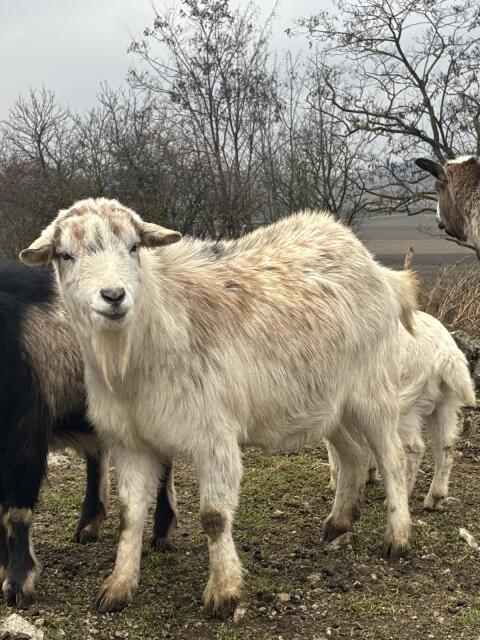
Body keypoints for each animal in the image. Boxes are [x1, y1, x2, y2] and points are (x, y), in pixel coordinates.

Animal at [0, 263, 176, 609]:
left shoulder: (23, 437)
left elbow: (15, 514)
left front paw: (18, 584)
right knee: (97, 457)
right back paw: (90, 524)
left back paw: (163, 531)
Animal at [20, 198, 418, 616]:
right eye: (66, 255)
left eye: (134, 246)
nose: (113, 295)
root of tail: (376, 267)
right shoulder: (130, 441)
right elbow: (130, 515)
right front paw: (118, 585)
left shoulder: (214, 433)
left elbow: (213, 516)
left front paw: (223, 591)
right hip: (330, 400)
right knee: (354, 454)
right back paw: (339, 522)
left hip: (372, 389)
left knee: (391, 457)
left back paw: (397, 536)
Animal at [327, 310, 476, 511]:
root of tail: (447, 355)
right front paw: (369, 474)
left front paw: (336, 482)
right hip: (446, 403)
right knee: (446, 445)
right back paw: (434, 498)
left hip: (403, 402)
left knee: (415, 448)